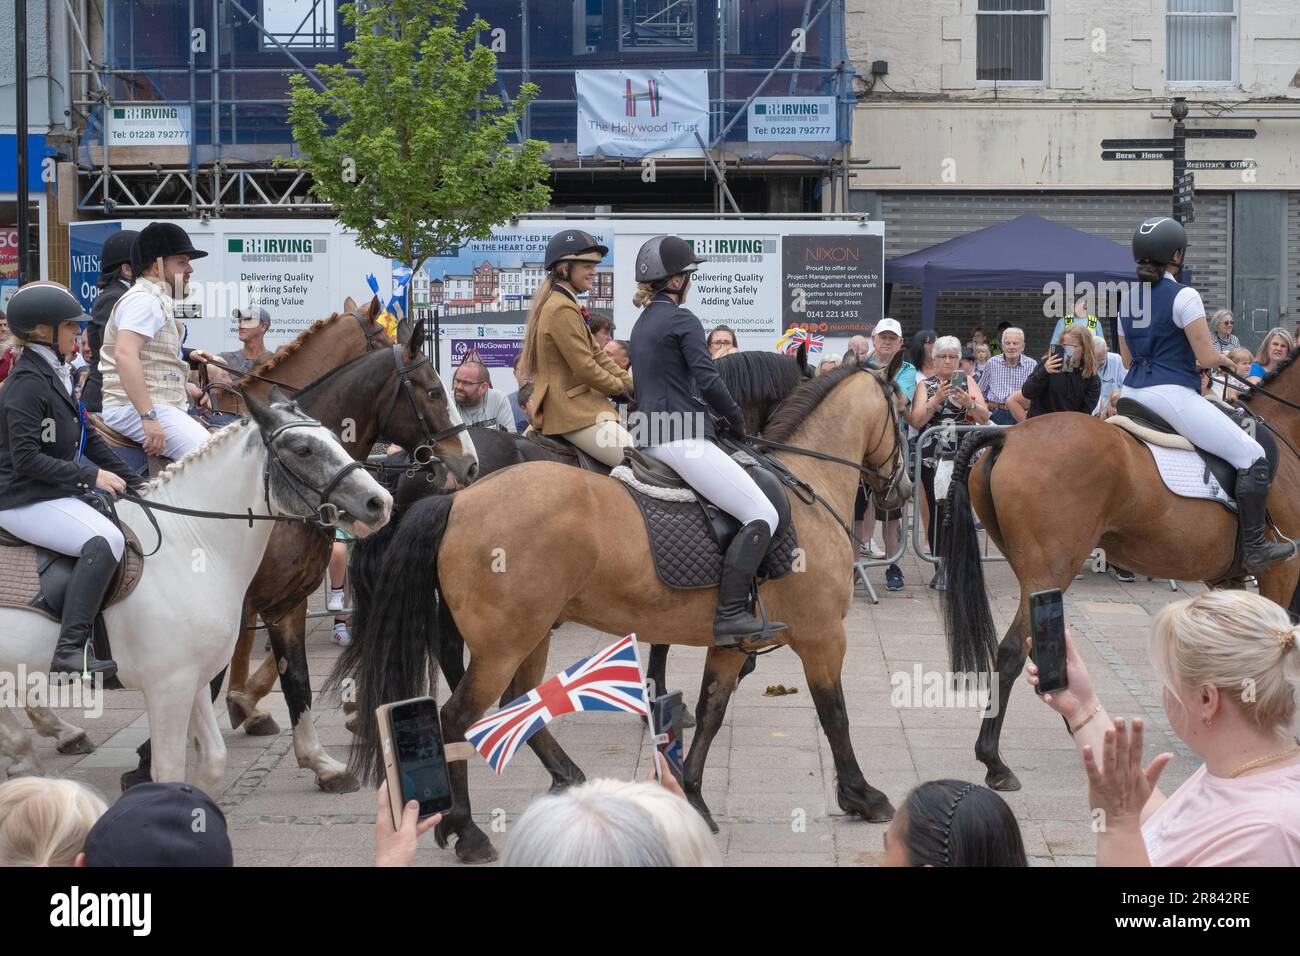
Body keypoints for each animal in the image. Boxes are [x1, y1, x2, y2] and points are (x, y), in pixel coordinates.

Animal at [0, 392, 390, 790]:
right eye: (303, 449)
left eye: (335, 436)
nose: (380, 502)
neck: (190, 542)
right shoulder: (169, 687)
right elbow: (169, 769)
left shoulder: (196, 675)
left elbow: (215, 757)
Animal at [120, 300, 478, 790]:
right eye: (434, 392)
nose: (469, 463)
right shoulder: (252, 598)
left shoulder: (281, 598)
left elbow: (294, 675)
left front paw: (303, 747)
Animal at [330, 356, 909, 863]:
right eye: (903, 408)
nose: (900, 491)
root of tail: (459, 497)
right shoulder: (823, 637)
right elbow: (835, 715)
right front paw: (863, 795)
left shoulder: (731, 640)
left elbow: (713, 710)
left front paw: (691, 796)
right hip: (504, 643)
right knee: (456, 718)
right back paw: (469, 831)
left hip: (528, 634)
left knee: (519, 701)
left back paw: (561, 782)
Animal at [941, 348, 1300, 790]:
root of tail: (1010, 435)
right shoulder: (1283, 571)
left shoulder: (1229, 580)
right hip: (1049, 570)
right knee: (1012, 652)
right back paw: (996, 762)